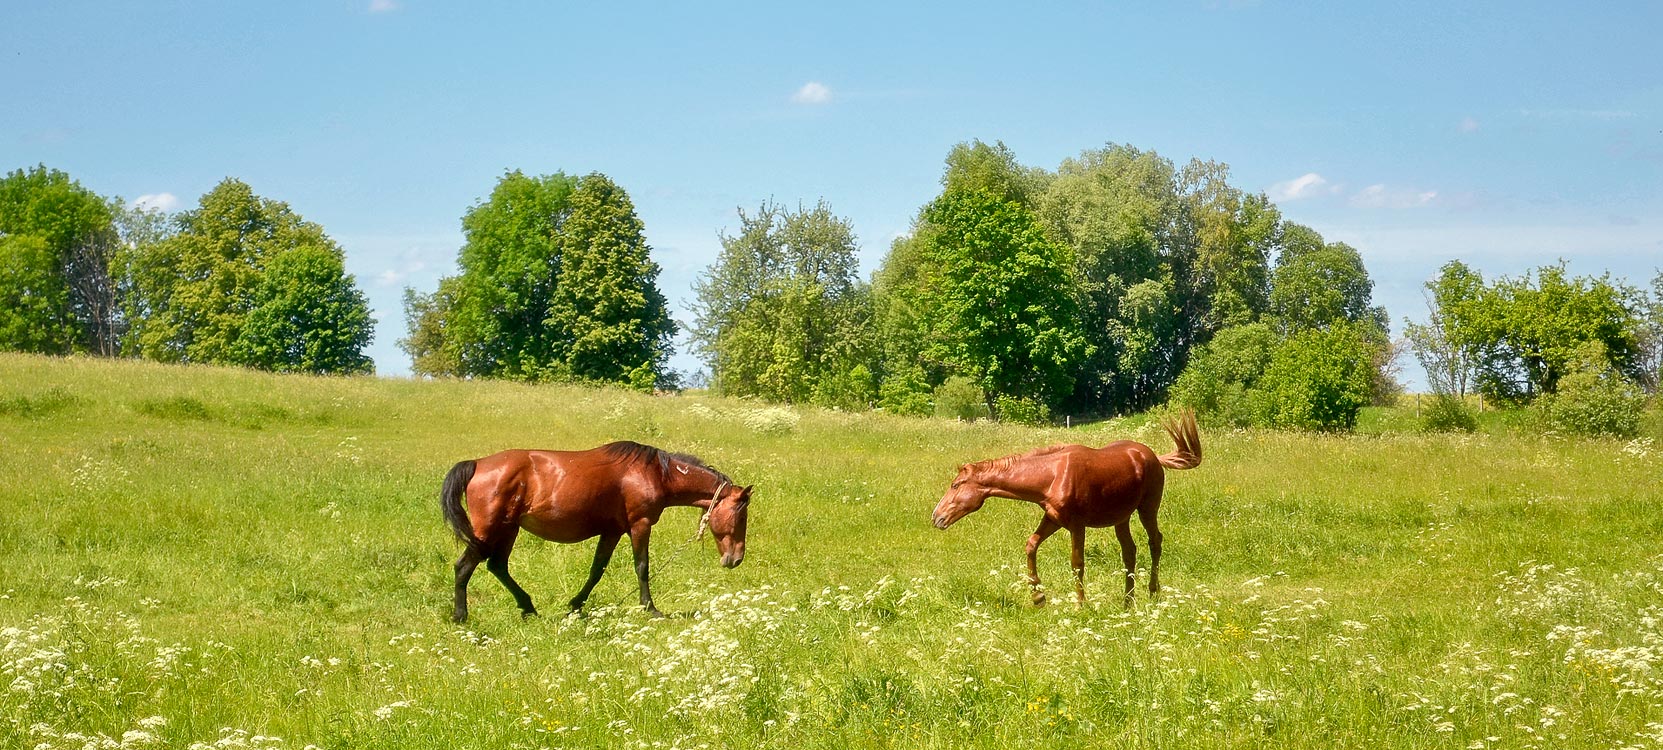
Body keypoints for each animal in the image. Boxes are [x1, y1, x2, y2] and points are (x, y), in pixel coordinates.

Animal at [442, 439, 755, 621]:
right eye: (741, 517)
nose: (736, 559)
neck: (656, 473)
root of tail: (477, 464)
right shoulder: (639, 524)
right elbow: (642, 567)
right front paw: (650, 608)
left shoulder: (612, 531)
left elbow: (597, 570)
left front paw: (576, 604)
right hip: (489, 529)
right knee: (464, 567)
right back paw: (461, 616)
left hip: (508, 529)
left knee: (497, 566)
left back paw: (528, 607)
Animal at [931, 414, 1204, 608]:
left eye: (955, 485)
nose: (936, 517)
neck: (1051, 476)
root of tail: (1153, 457)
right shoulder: (1053, 519)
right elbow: (1031, 545)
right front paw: (1038, 598)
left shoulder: (1076, 525)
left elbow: (1077, 563)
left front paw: (1081, 604)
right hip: (1122, 518)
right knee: (1130, 552)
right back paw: (1128, 601)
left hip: (1147, 508)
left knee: (1155, 541)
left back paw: (1153, 592)